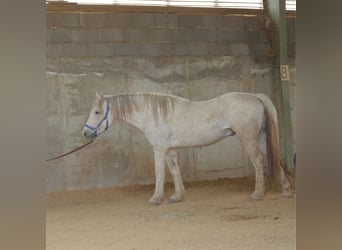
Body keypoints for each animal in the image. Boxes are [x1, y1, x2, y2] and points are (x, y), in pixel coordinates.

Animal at [82, 92, 292, 205]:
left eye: (97, 112)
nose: (86, 133)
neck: (154, 114)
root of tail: (255, 96)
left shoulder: (160, 149)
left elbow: (160, 173)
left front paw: (156, 199)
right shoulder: (170, 150)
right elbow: (175, 171)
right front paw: (177, 196)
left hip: (249, 140)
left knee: (258, 162)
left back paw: (258, 194)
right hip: (262, 139)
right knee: (275, 160)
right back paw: (285, 189)